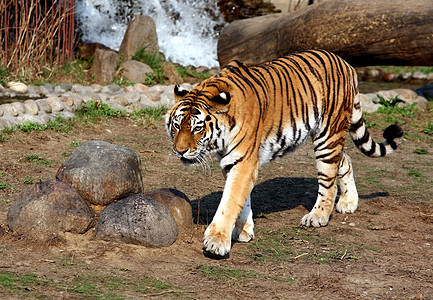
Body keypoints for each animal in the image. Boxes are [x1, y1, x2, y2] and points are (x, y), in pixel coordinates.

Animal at [165, 49, 402, 258]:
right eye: (176, 125)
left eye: (197, 128)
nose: (180, 151)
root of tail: (347, 64)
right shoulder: (232, 162)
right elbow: (243, 200)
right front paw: (244, 230)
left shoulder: (242, 161)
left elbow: (230, 202)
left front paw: (217, 241)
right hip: (332, 137)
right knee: (345, 160)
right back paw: (349, 202)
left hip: (328, 135)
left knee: (329, 181)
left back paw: (318, 216)